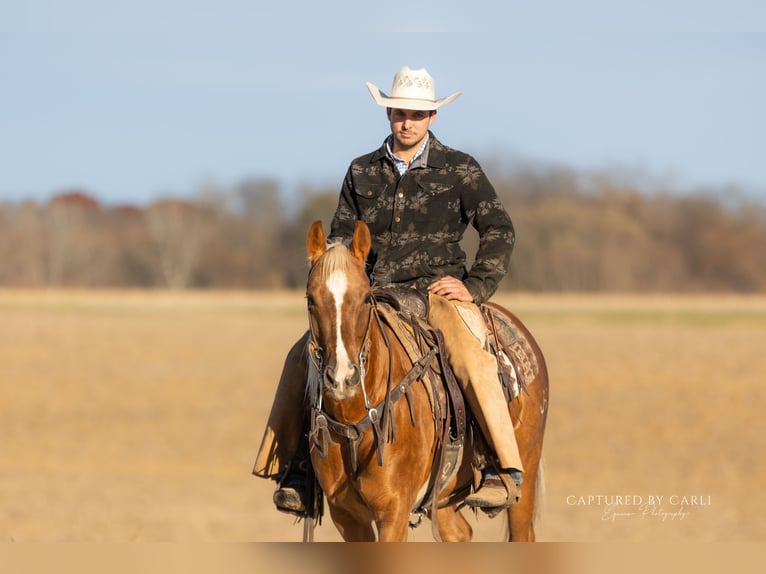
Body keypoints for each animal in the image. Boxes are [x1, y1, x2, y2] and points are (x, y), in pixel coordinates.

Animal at [303, 220, 548, 541]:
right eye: (310, 299)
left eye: (366, 297)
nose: (342, 377)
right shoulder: (346, 516)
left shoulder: (393, 511)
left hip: (526, 475)